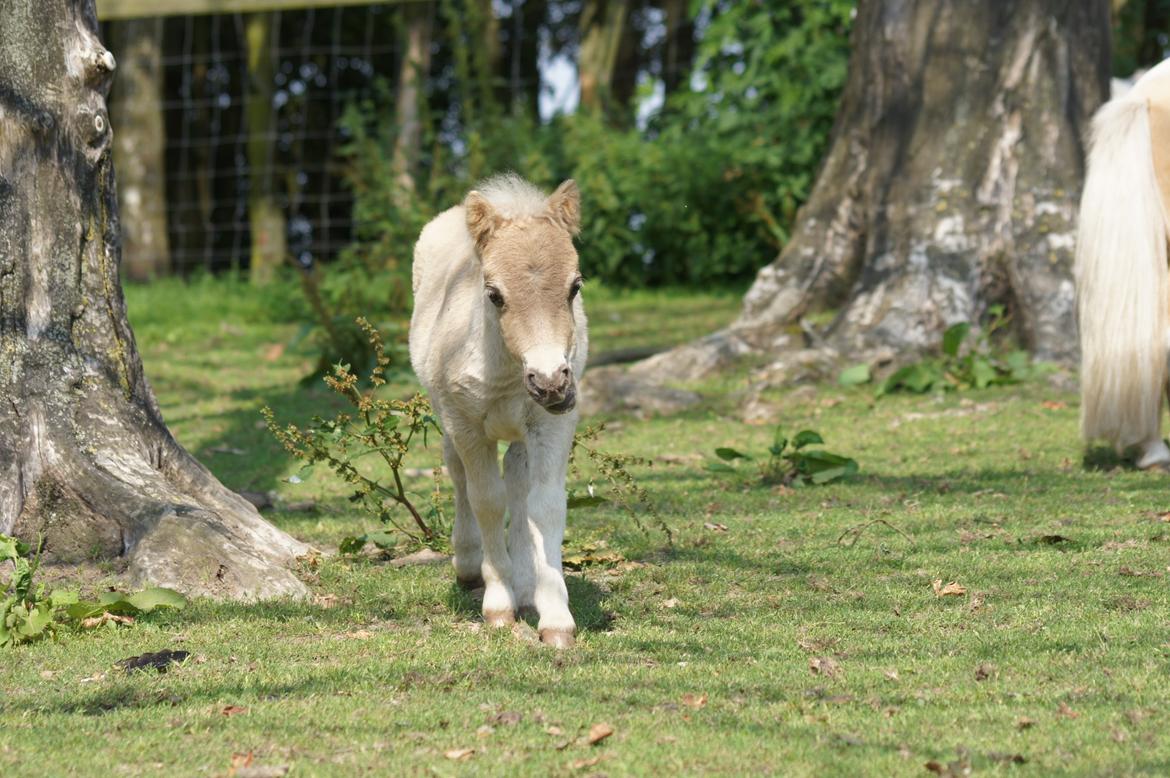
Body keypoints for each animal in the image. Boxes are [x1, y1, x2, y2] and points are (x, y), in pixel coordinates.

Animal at [409, 173, 589, 645]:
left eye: (575, 286)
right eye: (494, 295)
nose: (550, 381)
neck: (509, 372)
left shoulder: (552, 425)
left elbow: (545, 504)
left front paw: (555, 618)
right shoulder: (468, 426)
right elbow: (487, 500)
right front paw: (498, 606)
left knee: (518, 484)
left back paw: (525, 586)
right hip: (449, 417)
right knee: (458, 474)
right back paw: (472, 567)